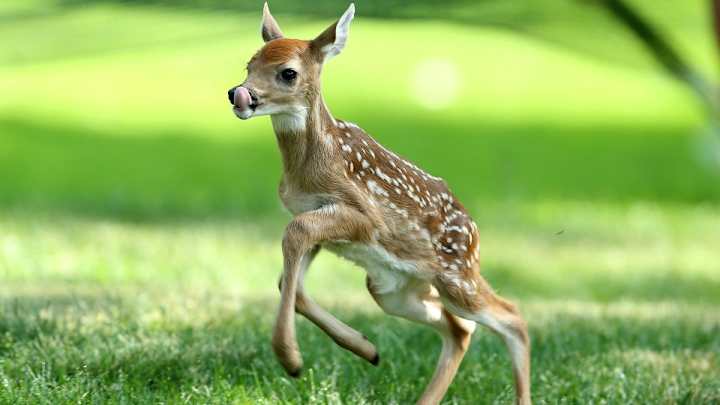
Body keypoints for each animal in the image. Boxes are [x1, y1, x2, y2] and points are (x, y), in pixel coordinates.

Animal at [226, 3, 531, 404]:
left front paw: (290, 359)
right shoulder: (316, 215)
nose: (238, 93)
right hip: (393, 288)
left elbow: (295, 235)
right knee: (461, 328)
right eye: (249, 64)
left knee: (512, 318)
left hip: (456, 276)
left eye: (287, 73)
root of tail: (474, 231)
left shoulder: (363, 216)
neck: (311, 165)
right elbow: (289, 280)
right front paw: (366, 348)